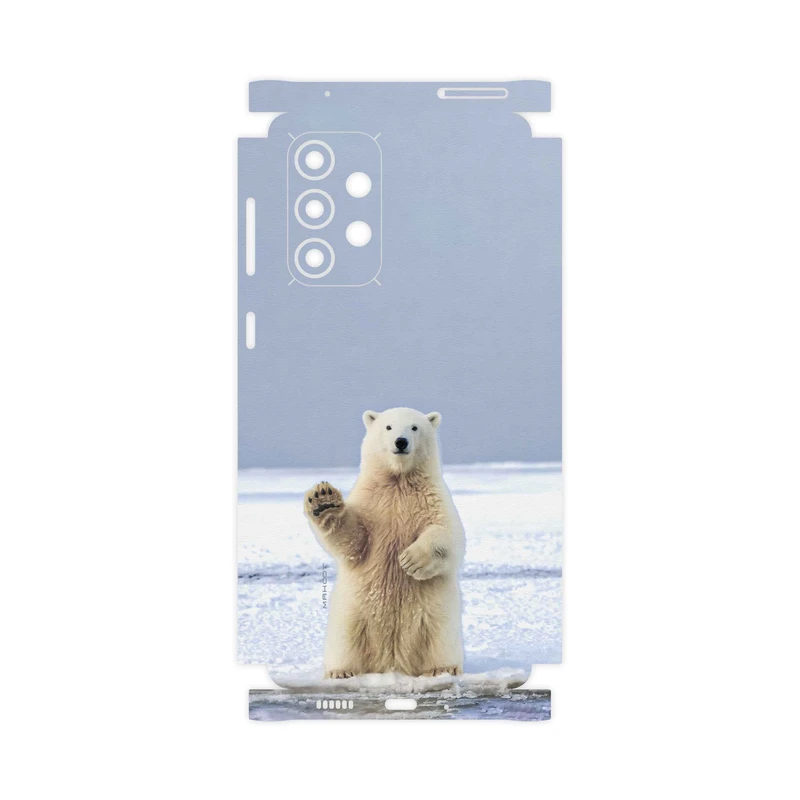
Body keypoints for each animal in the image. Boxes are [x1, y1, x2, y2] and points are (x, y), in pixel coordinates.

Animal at [304, 407, 465, 679]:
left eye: (414, 427)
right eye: (388, 427)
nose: (401, 442)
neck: (398, 481)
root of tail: (392, 662)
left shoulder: (432, 498)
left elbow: (448, 534)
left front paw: (410, 560)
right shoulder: (372, 502)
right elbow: (354, 540)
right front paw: (323, 501)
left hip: (437, 615)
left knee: (440, 638)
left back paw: (443, 668)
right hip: (352, 613)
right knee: (345, 640)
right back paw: (340, 671)